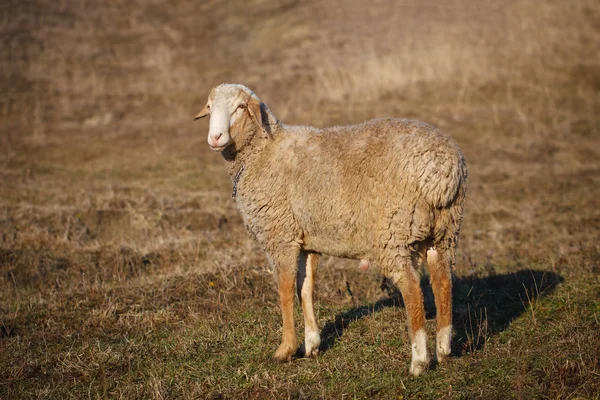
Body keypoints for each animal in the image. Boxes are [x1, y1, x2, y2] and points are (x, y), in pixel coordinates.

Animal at [195, 82, 466, 376]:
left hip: (393, 231)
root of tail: (442, 170)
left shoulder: (280, 236)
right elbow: (305, 288)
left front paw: (285, 349)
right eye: (210, 107)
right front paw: (311, 345)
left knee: (412, 288)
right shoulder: (307, 240)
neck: (263, 151)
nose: (216, 137)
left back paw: (418, 361)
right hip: (443, 231)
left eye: (240, 107)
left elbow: (285, 291)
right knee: (443, 282)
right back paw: (443, 349)